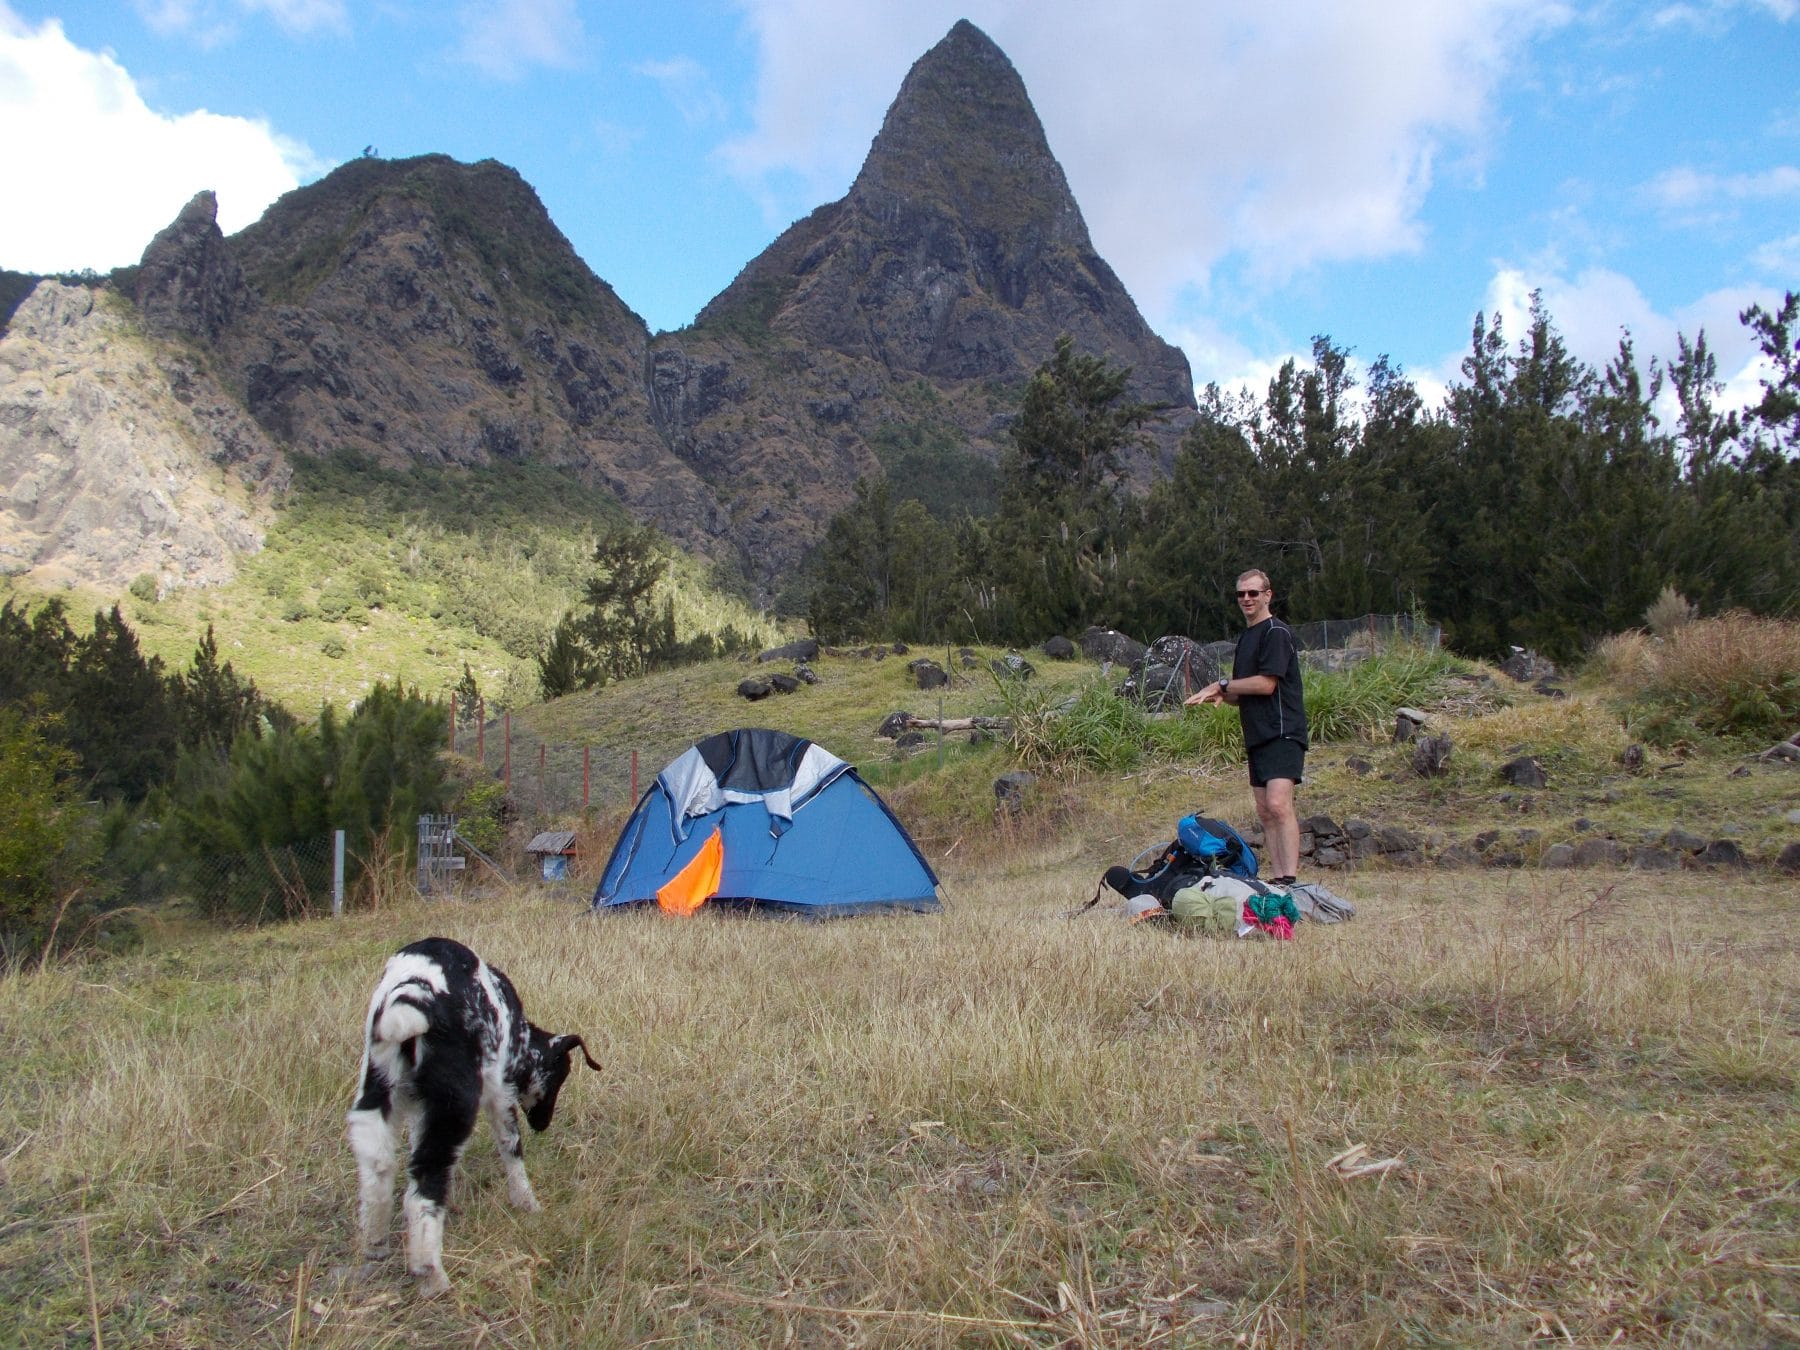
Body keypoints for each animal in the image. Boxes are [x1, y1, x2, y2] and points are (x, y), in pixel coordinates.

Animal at [347, 943, 601, 1303]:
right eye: (561, 1074)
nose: (542, 1124)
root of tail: (414, 993)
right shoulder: (500, 1092)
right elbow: (511, 1147)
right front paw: (527, 1203)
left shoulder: (421, 1112)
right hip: (456, 1105)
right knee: (423, 1186)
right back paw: (431, 1275)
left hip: (376, 1094)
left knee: (380, 1169)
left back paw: (376, 1242)